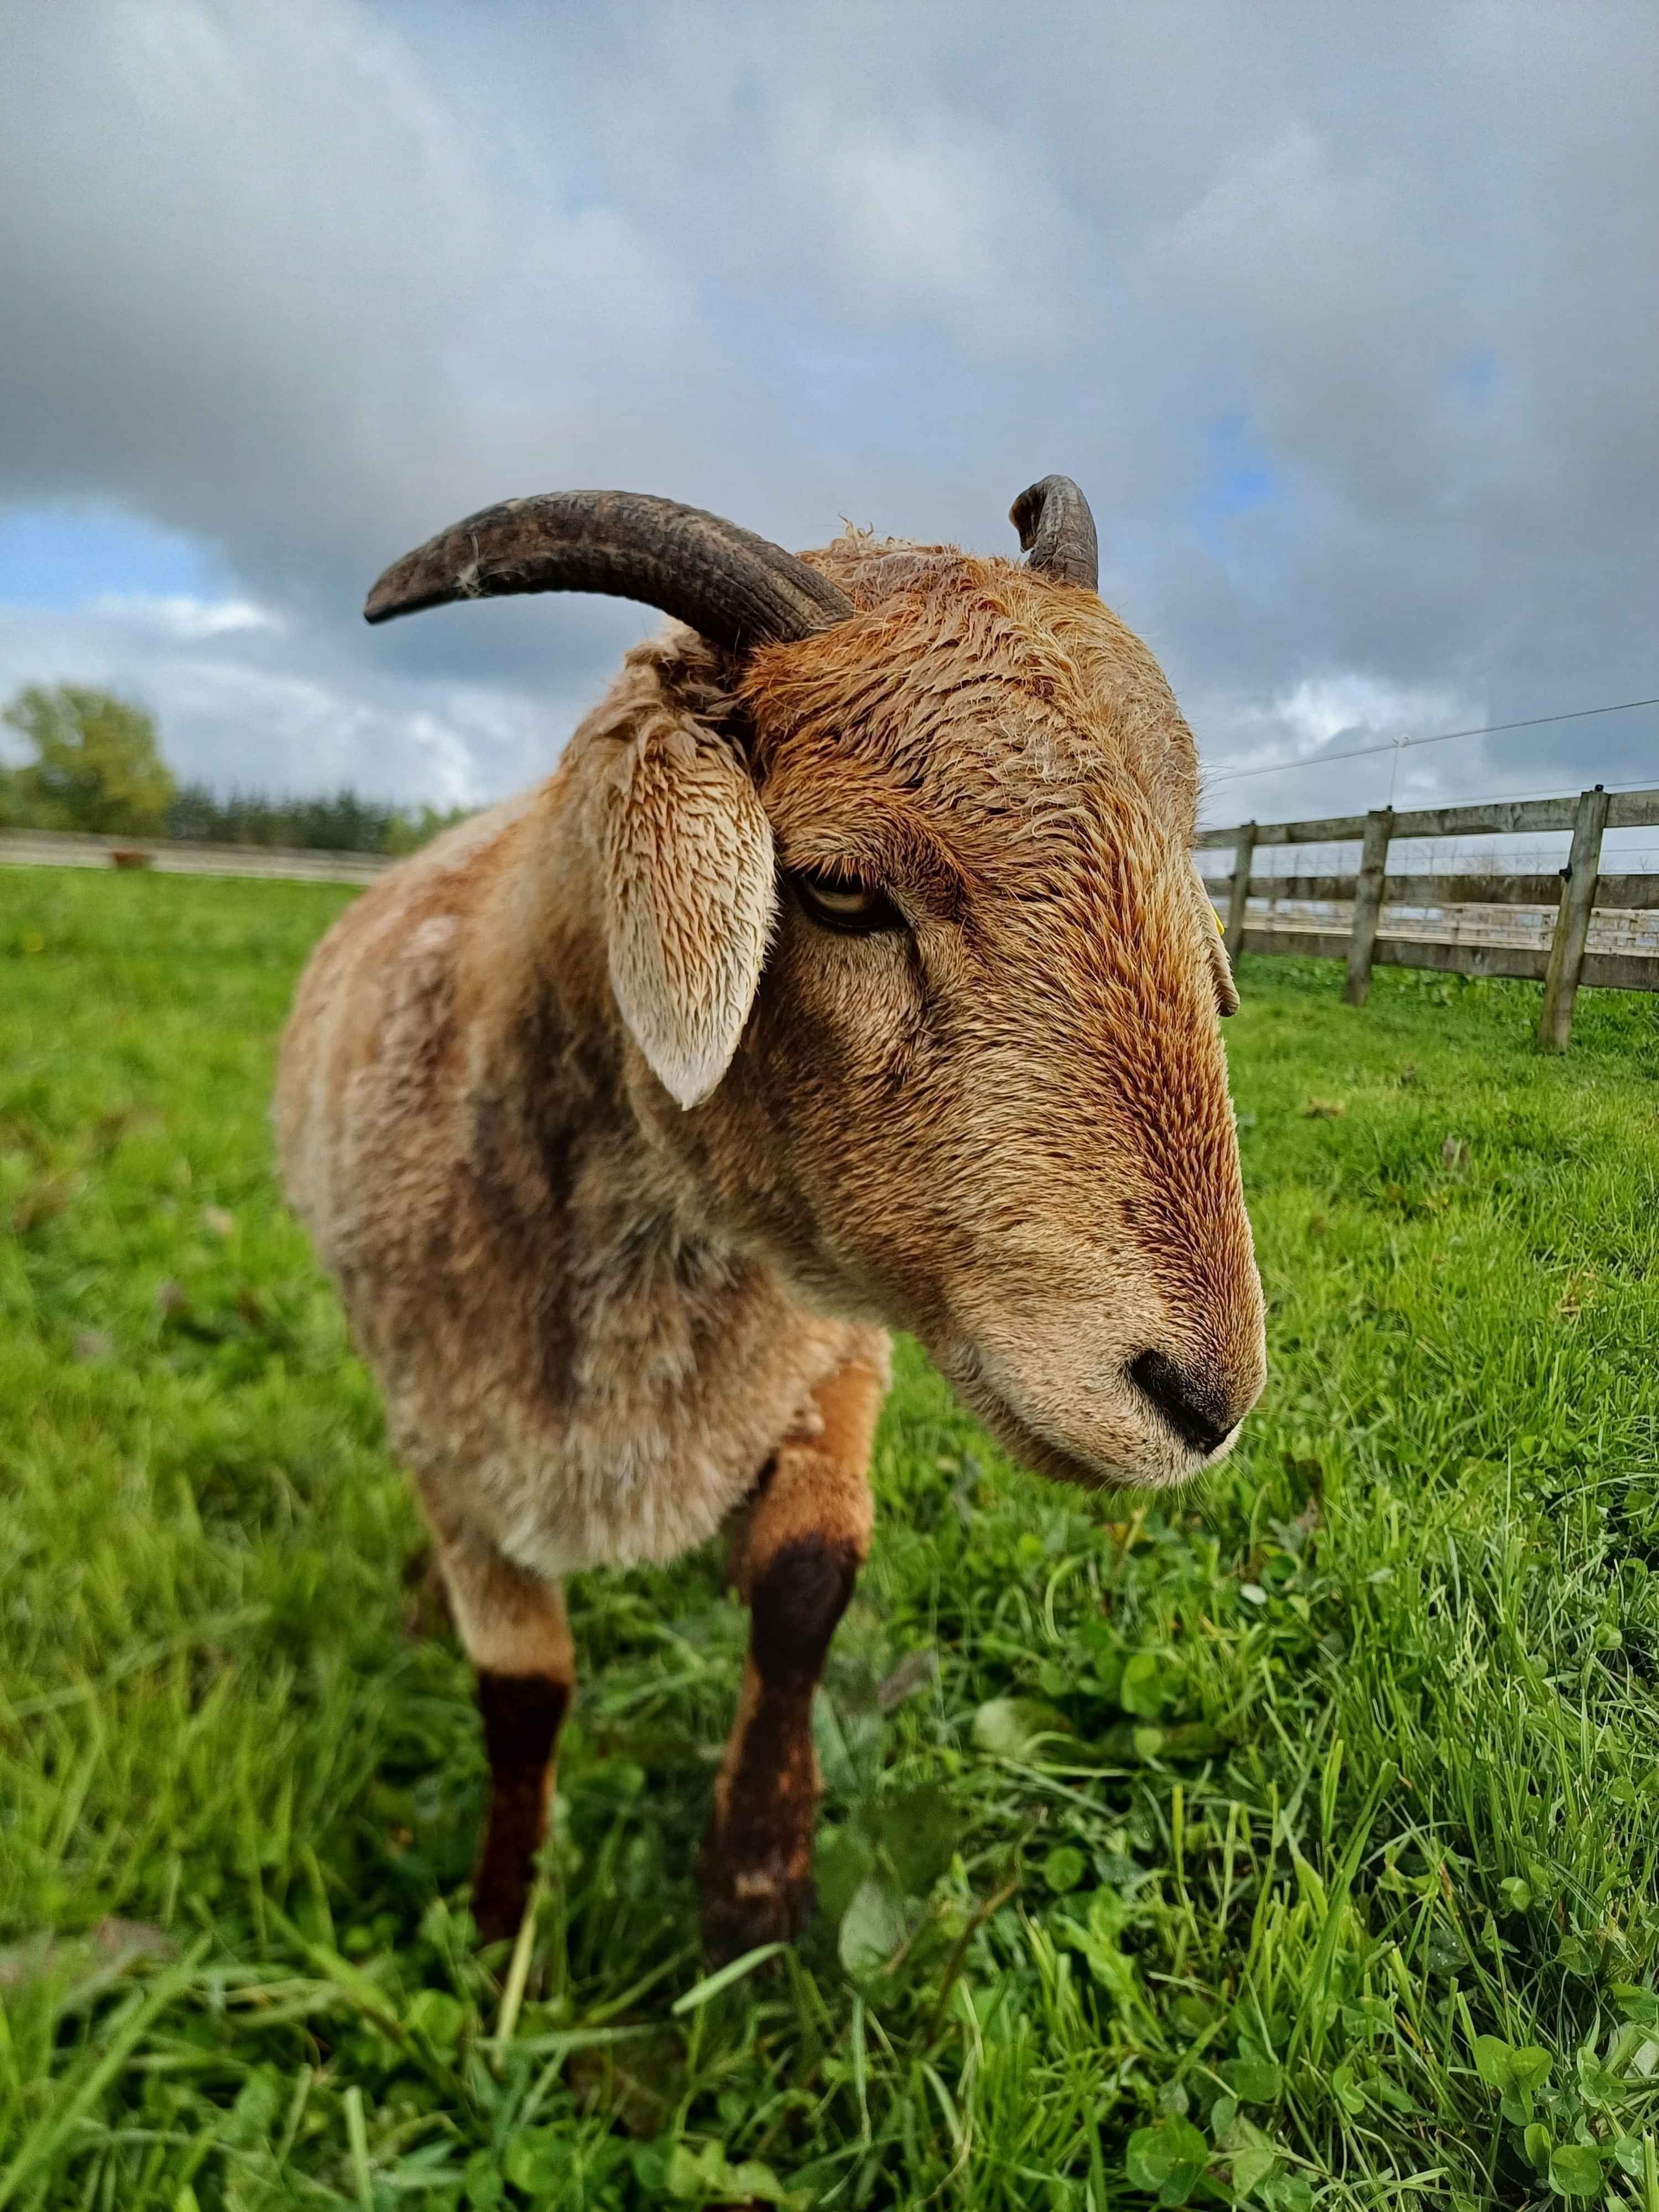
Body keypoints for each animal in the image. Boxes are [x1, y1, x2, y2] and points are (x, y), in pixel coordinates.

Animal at [274, 477, 1266, 1958]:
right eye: (840, 887)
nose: (1203, 1398)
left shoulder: (836, 1349)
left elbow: (802, 1584)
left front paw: (755, 1879)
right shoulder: (448, 1446)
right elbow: (523, 1689)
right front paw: (502, 1919)